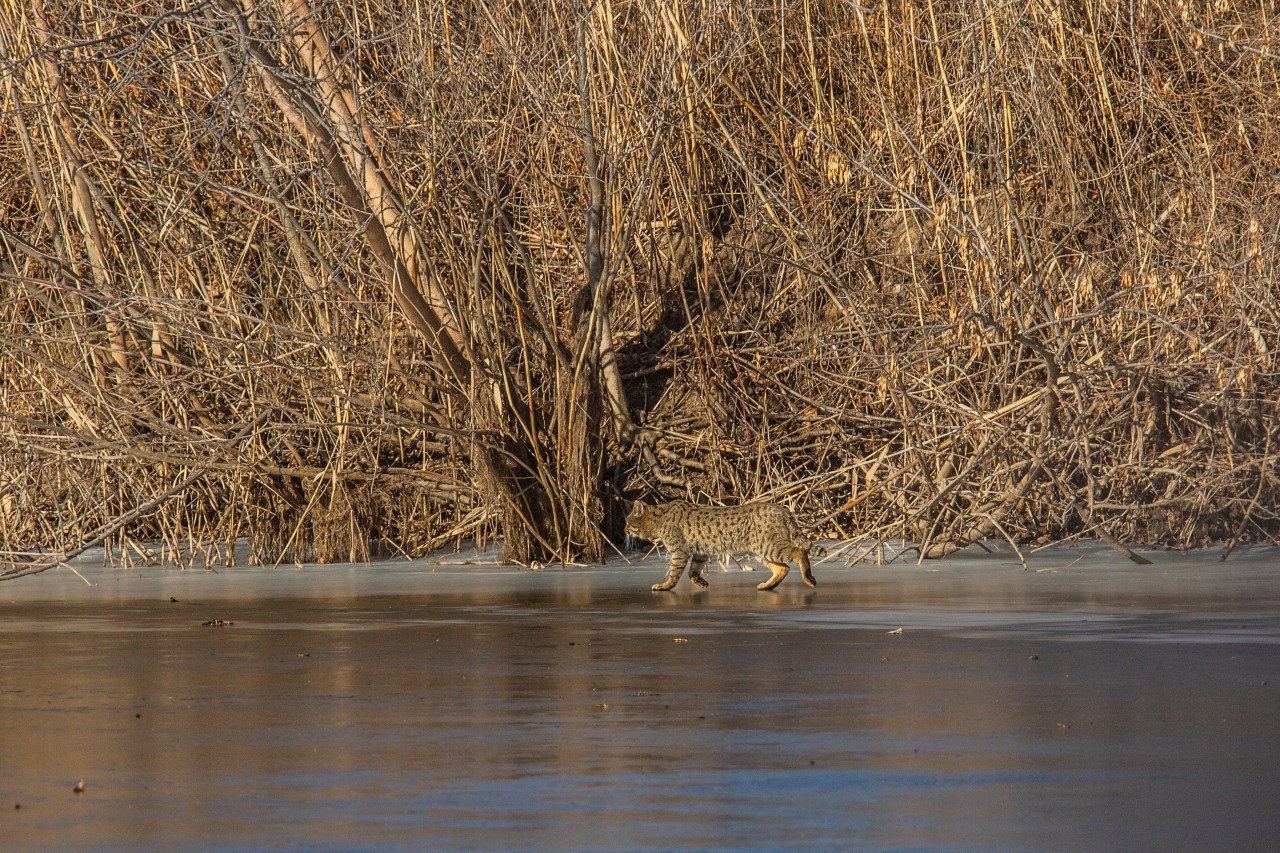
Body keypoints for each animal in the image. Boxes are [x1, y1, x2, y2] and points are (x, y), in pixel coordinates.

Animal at [627, 499, 819, 591]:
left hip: (769, 546)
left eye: (627, 523)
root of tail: (783, 510)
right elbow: (692, 571)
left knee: (799, 552)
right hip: (761, 550)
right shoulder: (700, 552)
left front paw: (664, 586)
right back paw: (767, 586)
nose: (623, 530)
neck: (660, 517)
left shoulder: (679, 551)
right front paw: (700, 582)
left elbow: (674, 572)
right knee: (783, 568)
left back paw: (809, 578)